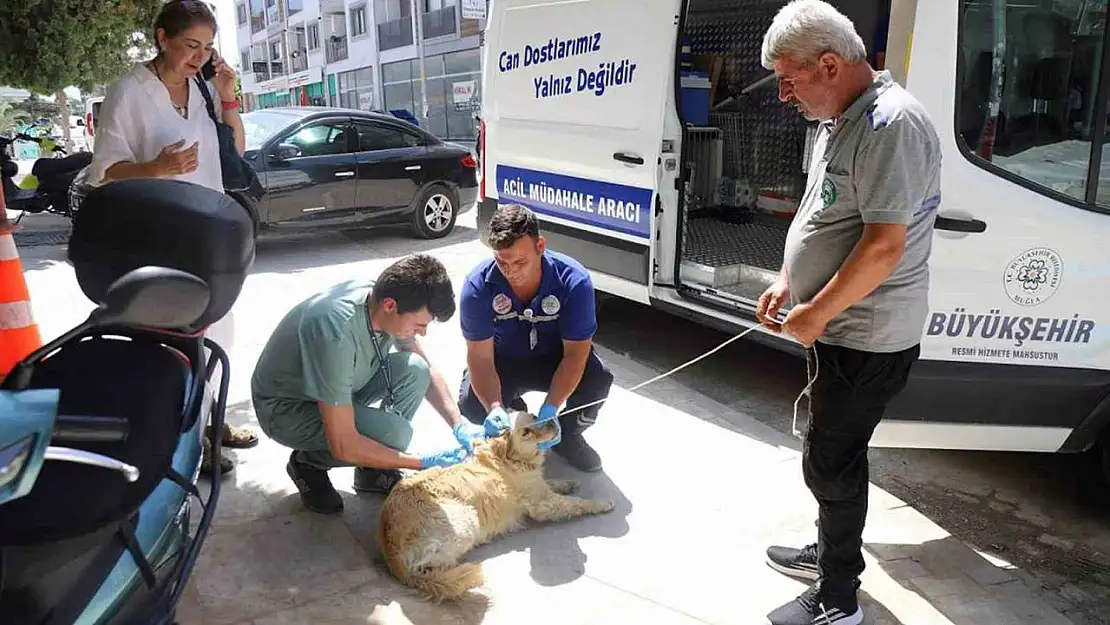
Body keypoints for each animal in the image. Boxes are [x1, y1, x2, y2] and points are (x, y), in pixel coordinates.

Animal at [377, 410, 612, 599]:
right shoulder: (542, 503)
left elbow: (553, 484)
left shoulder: (539, 485)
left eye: (535, 416)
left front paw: (568, 483)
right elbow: (575, 503)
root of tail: (391, 550)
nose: (553, 423)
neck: (508, 458)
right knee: (428, 566)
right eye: (525, 432)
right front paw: (600, 503)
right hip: (465, 520)